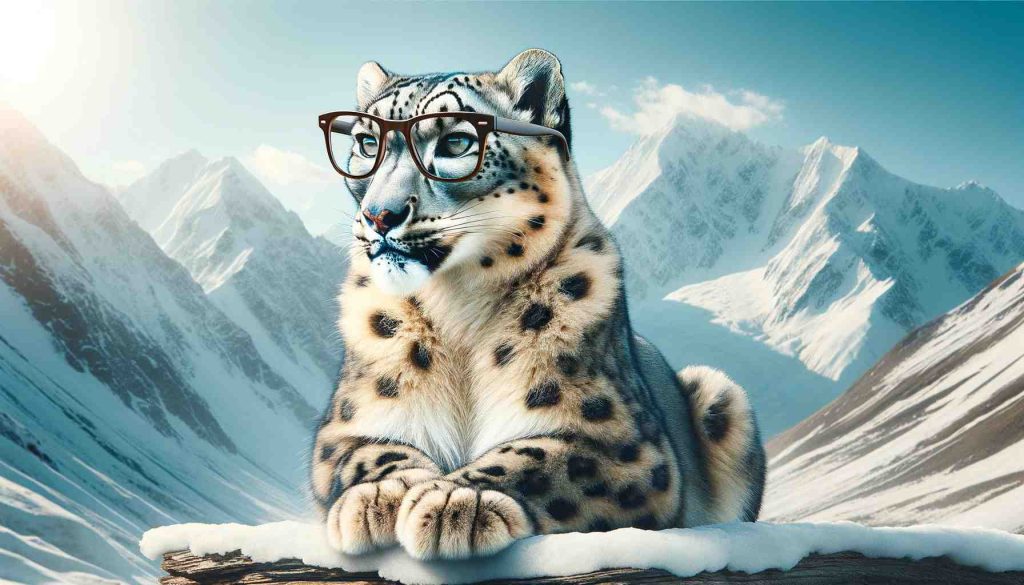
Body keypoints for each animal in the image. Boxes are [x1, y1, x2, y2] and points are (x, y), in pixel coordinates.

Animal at [310, 49, 766, 561]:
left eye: (456, 142)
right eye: (368, 142)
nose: (379, 215)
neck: (455, 305)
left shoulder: (625, 444)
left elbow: (542, 456)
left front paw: (455, 499)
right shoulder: (342, 428)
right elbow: (369, 450)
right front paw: (377, 496)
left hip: (722, 392)